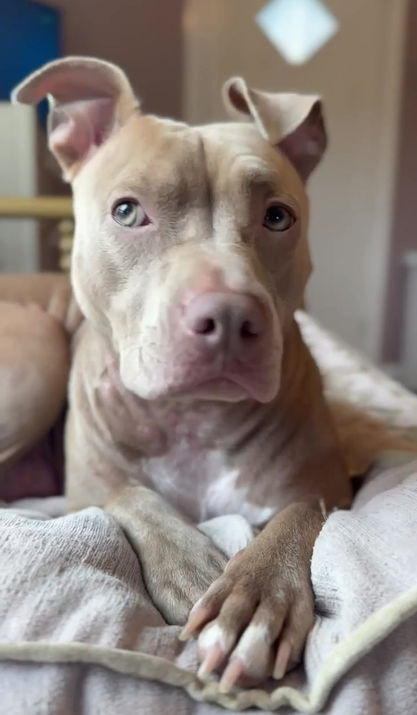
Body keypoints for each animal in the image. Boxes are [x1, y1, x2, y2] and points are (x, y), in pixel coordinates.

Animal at [9, 57, 352, 690]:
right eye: (126, 211)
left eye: (277, 217)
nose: (230, 316)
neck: (196, 417)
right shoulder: (87, 488)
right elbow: (132, 496)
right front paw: (193, 567)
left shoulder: (328, 487)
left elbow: (298, 515)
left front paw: (254, 600)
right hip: (39, 348)